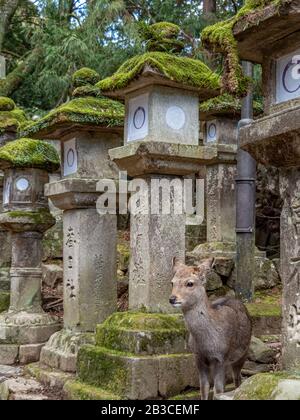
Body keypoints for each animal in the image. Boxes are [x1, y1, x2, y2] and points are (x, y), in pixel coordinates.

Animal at [170, 258, 252, 398]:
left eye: (190, 283)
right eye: (172, 282)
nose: (172, 299)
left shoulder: (220, 357)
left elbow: (217, 390)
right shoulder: (198, 358)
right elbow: (204, 388)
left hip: (243, 353)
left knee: (237, 378)